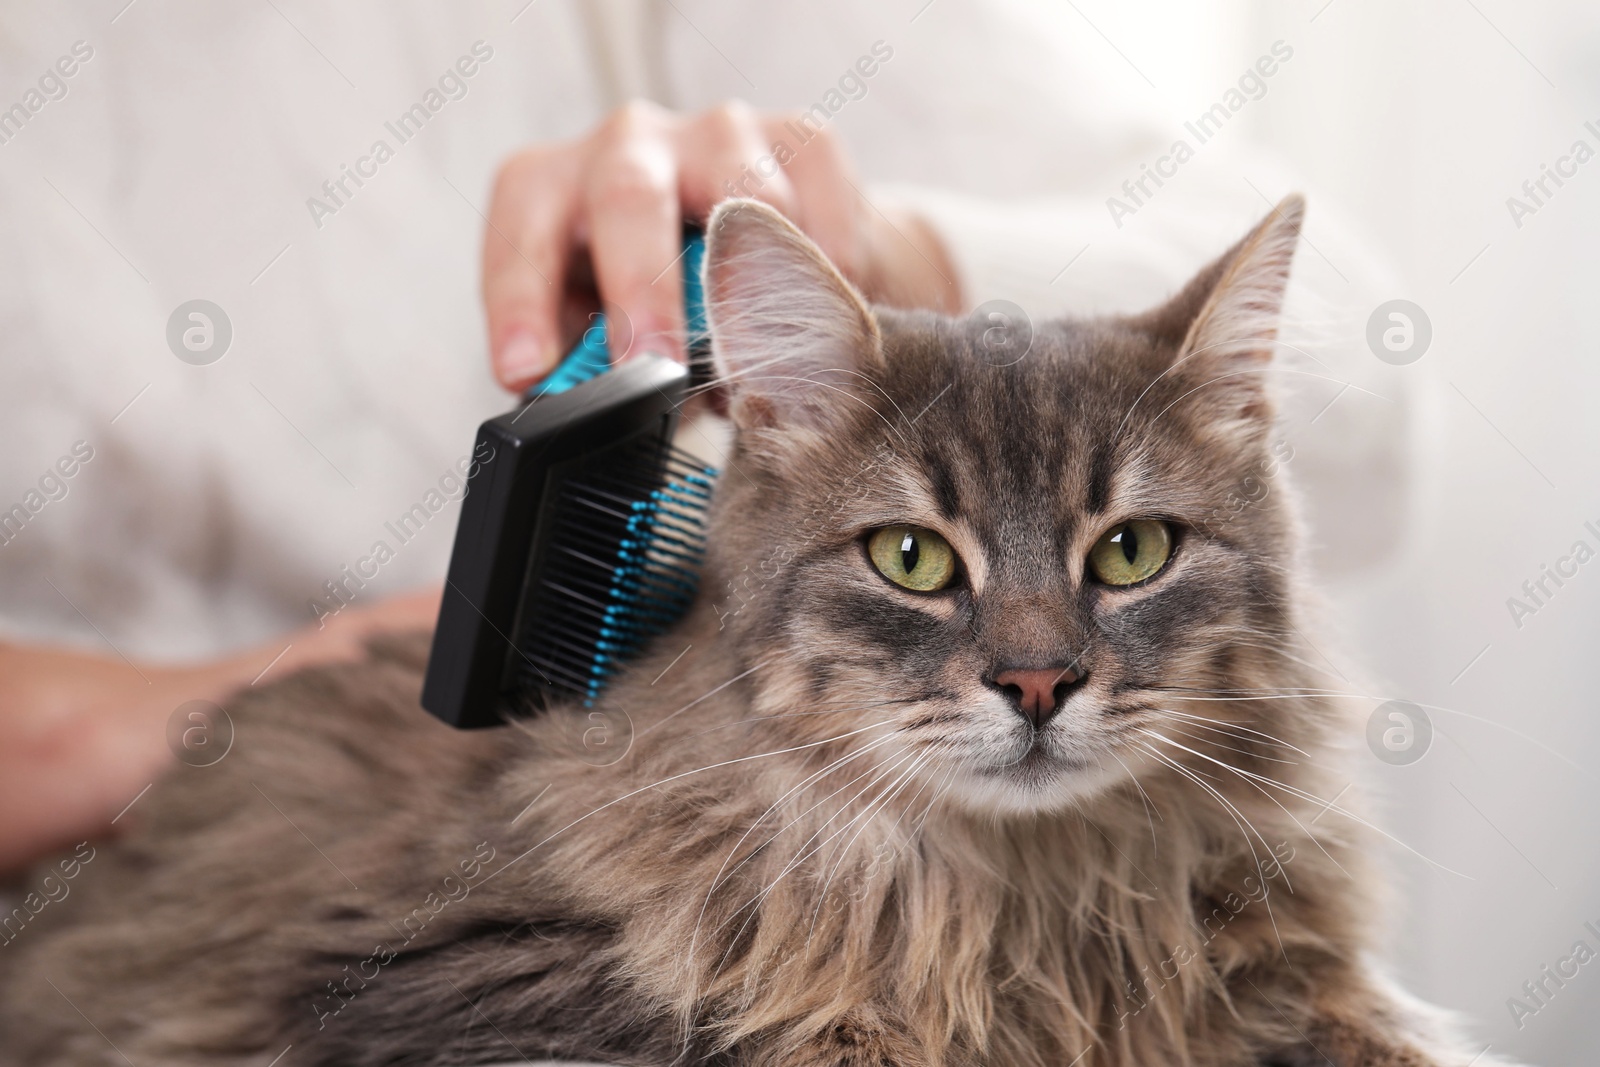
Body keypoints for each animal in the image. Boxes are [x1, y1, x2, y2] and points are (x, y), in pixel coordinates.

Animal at [0, 195, 1510, 1062]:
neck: (1022, 902)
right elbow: (824, 1032)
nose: (1037, 681)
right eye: (912, 557)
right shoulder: (441, 975)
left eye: (1131, 551)